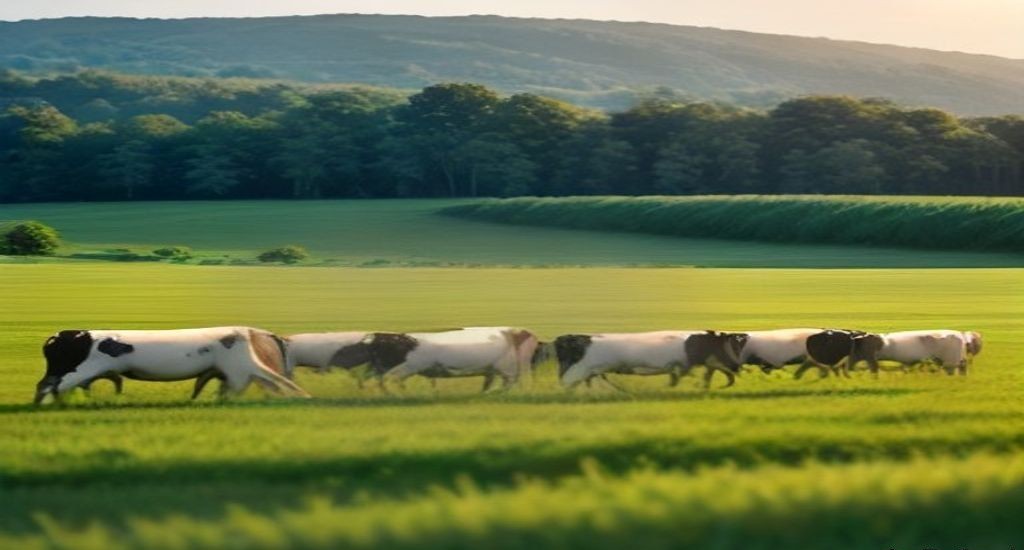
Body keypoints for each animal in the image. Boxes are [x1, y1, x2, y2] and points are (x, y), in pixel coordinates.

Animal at [35, 327, 308, 404]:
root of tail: (57, 337)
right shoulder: (238, 369)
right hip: (74, 370)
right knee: (56, 386)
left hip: (59, 369)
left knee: (45, 384)